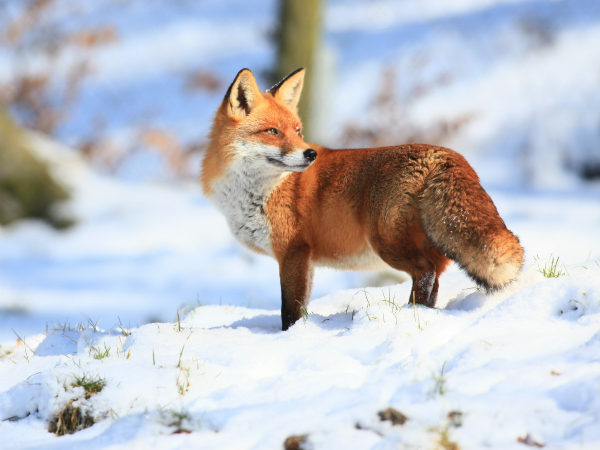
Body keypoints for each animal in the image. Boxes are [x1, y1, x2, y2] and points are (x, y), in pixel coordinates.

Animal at [200, 67, 520, 330]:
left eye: (298, 131)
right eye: (272, 131)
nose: (310, 154)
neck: (258, 191)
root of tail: (445, 154)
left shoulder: (293, 252)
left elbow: (289, 311)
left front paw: (290, 337)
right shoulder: (306, 260)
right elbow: (302, 305)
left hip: (386, 241)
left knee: (425, 272)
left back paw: (409, 314)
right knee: (435, 281)